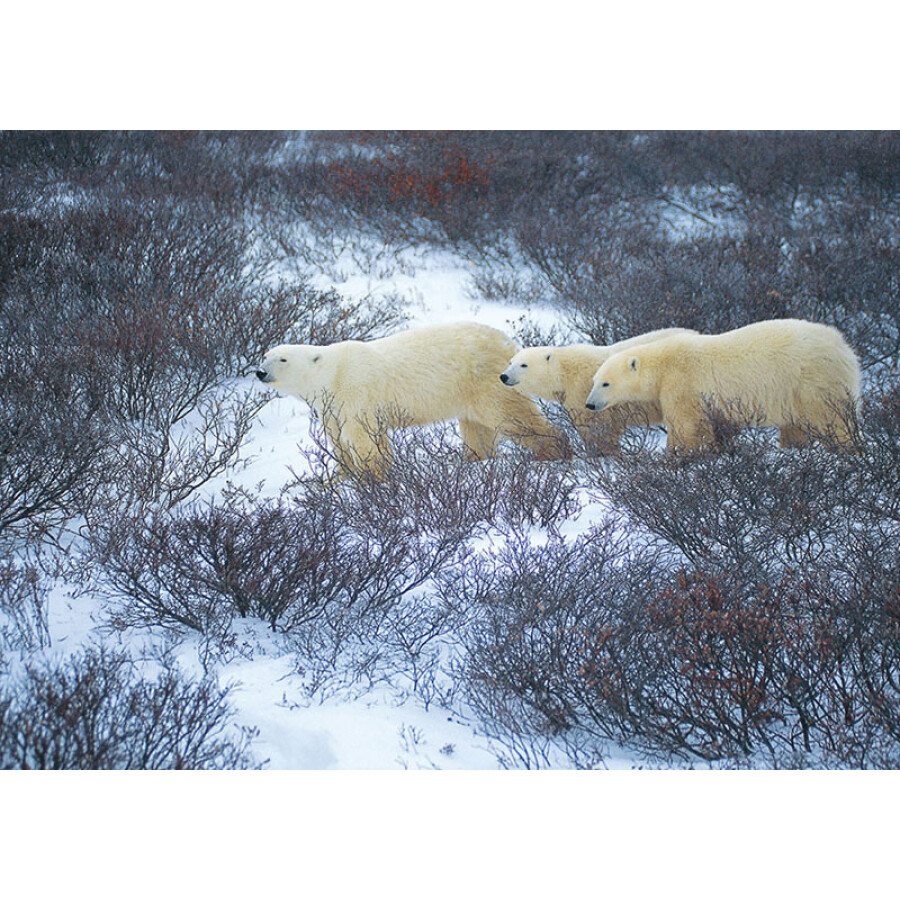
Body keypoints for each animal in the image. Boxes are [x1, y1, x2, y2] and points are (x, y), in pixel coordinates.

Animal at [253, 322, 568, 478]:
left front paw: (372, 479)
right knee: (476, 428)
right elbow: (341, 439)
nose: (260, 372)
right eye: (265, 355)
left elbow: (361, 438)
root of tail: (509, 344)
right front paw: (340, 477)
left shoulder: (355, 391)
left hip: (487, 379)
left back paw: (552, 450)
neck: (333, 373)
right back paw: (473, 461)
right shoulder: (331, 407)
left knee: (510, 415)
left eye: (282, 359)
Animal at [500, 328, 696, 458]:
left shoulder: (583, 390)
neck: (566, 371)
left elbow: (595, 426)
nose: (504, 376)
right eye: (510, 362)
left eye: (523, 364)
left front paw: (600, 454)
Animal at [588, 320, 860, 454]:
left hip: (813, 379)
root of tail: (844, 348)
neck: (663, 363)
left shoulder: (682, 383)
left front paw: (675, 456)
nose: (590, 404)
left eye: (605, 383)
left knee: (831, 418)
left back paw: (847, 449)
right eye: (594, 381)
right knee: (797, 423)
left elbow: (686, 425)